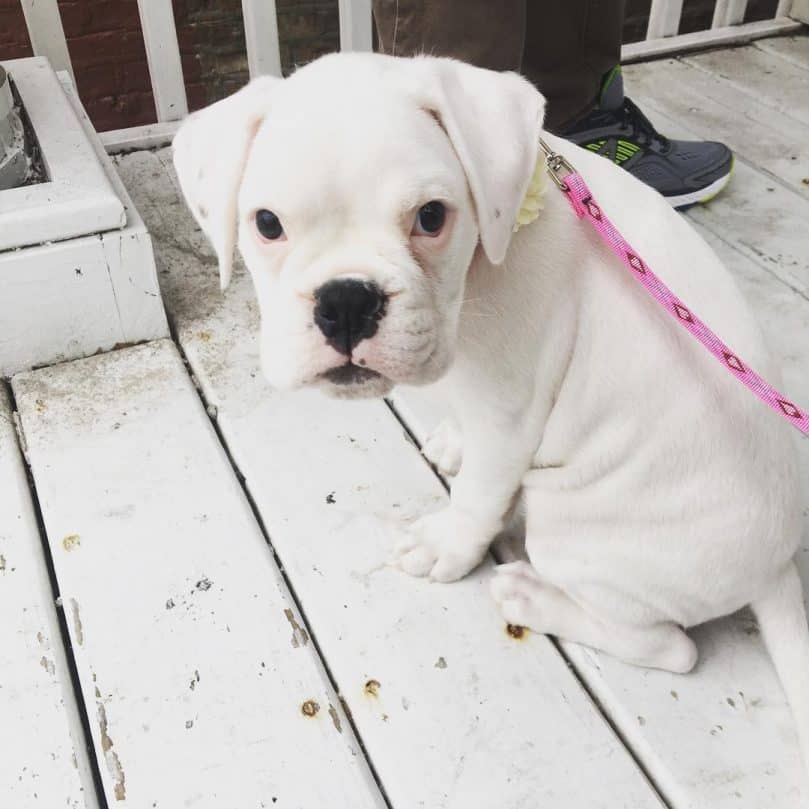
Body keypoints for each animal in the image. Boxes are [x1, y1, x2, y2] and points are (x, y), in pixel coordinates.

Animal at [174, 50, 804, 772]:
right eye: (267, 224)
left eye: (431, 217)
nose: (346, 301)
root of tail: (777, 567)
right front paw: (450, 440)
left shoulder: (509, 411)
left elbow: (477, 496)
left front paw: (445, 545)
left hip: (578, 537)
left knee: (670, 645)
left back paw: (533, 597)